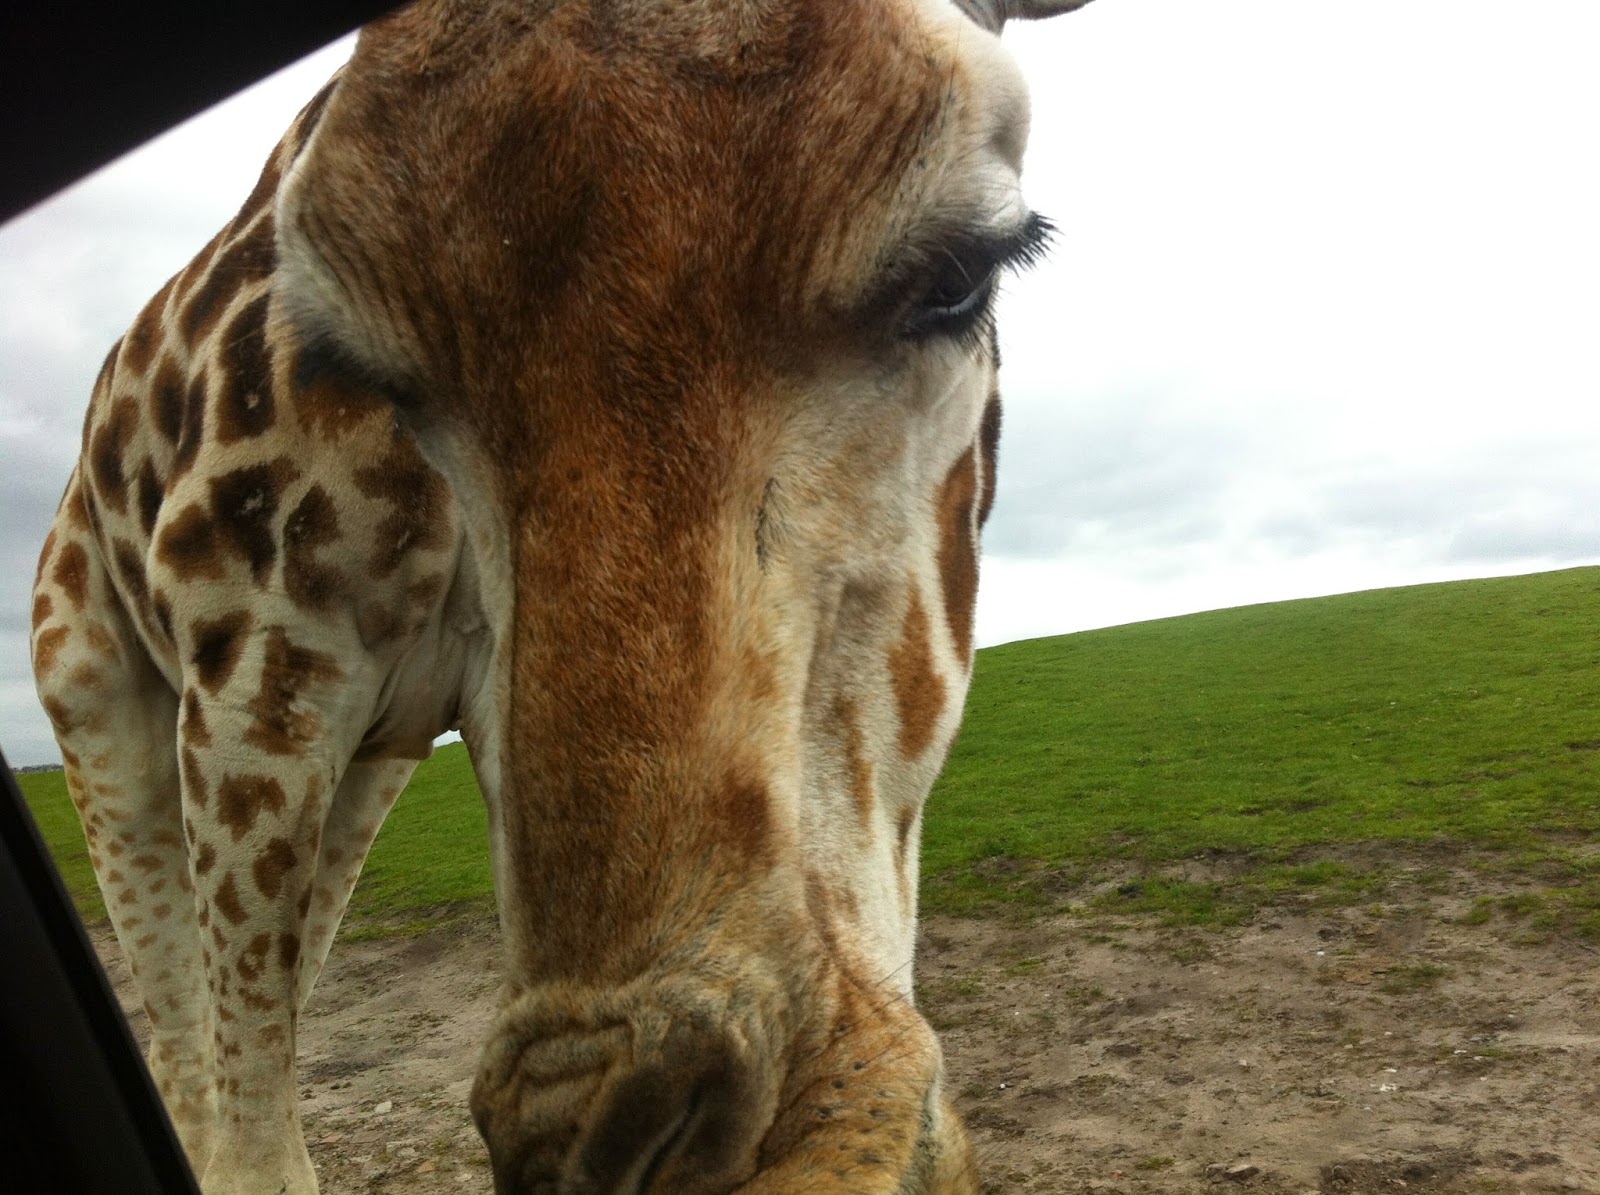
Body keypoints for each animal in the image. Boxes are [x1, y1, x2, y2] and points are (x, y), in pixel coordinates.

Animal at [29, 1, 1095, 1190]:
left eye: (964, 270)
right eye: (366, 365)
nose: (613, 1146)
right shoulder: (257, 661)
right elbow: (255, 1139)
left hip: (370, 766)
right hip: (94, 679)